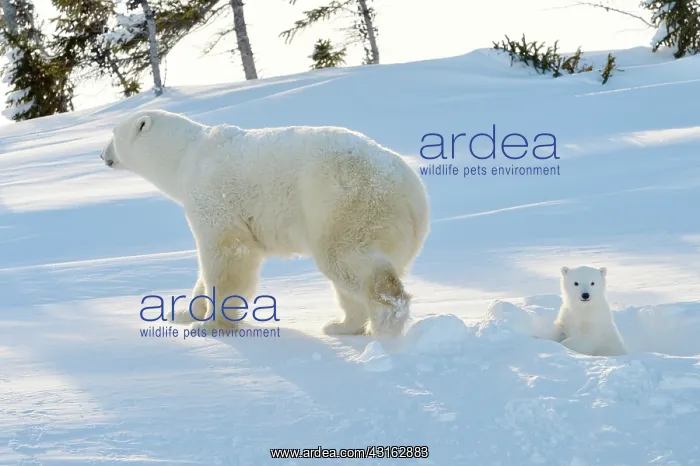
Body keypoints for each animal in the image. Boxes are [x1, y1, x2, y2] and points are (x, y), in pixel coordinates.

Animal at [100, 109, 430, 337]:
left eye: (114, 133)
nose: (102, 154)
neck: (186, 156)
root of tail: (411, 189)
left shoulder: (213, 197)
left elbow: (227, 254)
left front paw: (211, 325)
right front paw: (183, 313)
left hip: (346, 203)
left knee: (349, 261)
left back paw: (384, 327)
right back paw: (340, 324)